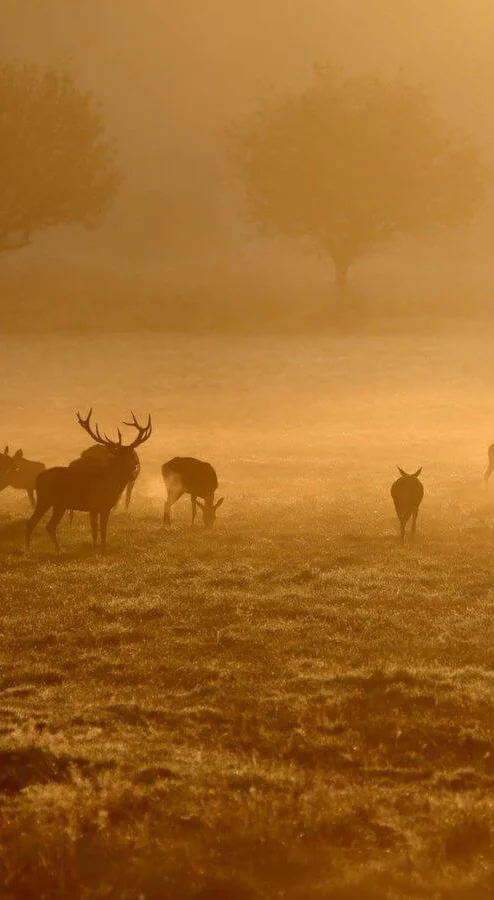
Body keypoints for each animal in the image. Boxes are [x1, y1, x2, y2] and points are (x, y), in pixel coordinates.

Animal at [26, 410, 151, 553]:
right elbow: (102, 530)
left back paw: (49, 549)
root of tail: (38, 478)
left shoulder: (95, 508)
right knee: (38, 524)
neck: (112, 484)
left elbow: (95, 531)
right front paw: (102, 551)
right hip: (47, 500)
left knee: (43, 525)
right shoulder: (101, 506)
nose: (135, 465)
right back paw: (37, 549)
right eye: (120, 455)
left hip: (56, 504)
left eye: (131, 453)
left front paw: (95, 548)